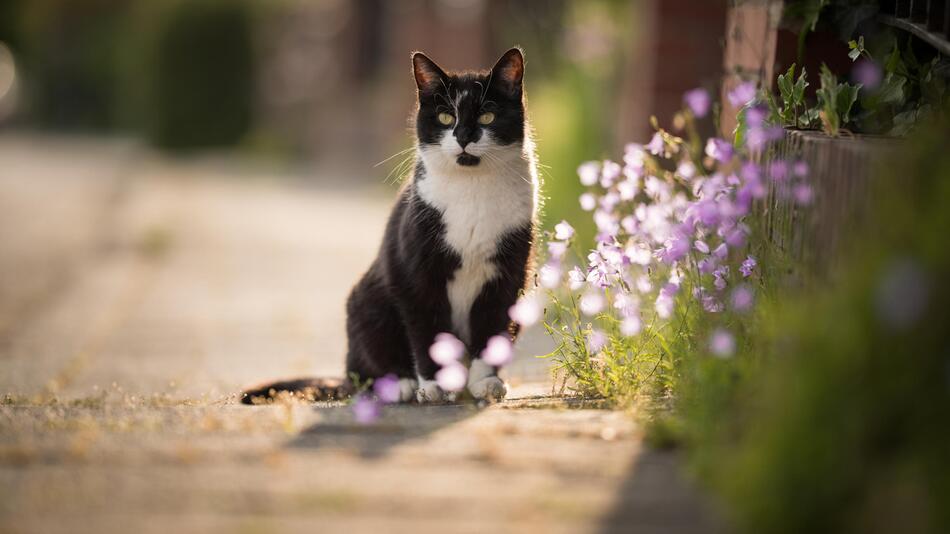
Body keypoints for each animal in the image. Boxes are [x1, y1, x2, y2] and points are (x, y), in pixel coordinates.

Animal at [242, 48, 540, 406]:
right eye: (445, 118)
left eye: (487, 117)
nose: (464, 137)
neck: (472, 189)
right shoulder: (416, 274)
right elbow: (428, 332)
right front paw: (435, 386)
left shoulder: (508, 274)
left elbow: (493, 327)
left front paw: (486, 382)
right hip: (368, 304)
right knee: (364, 372)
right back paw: (399, 385)